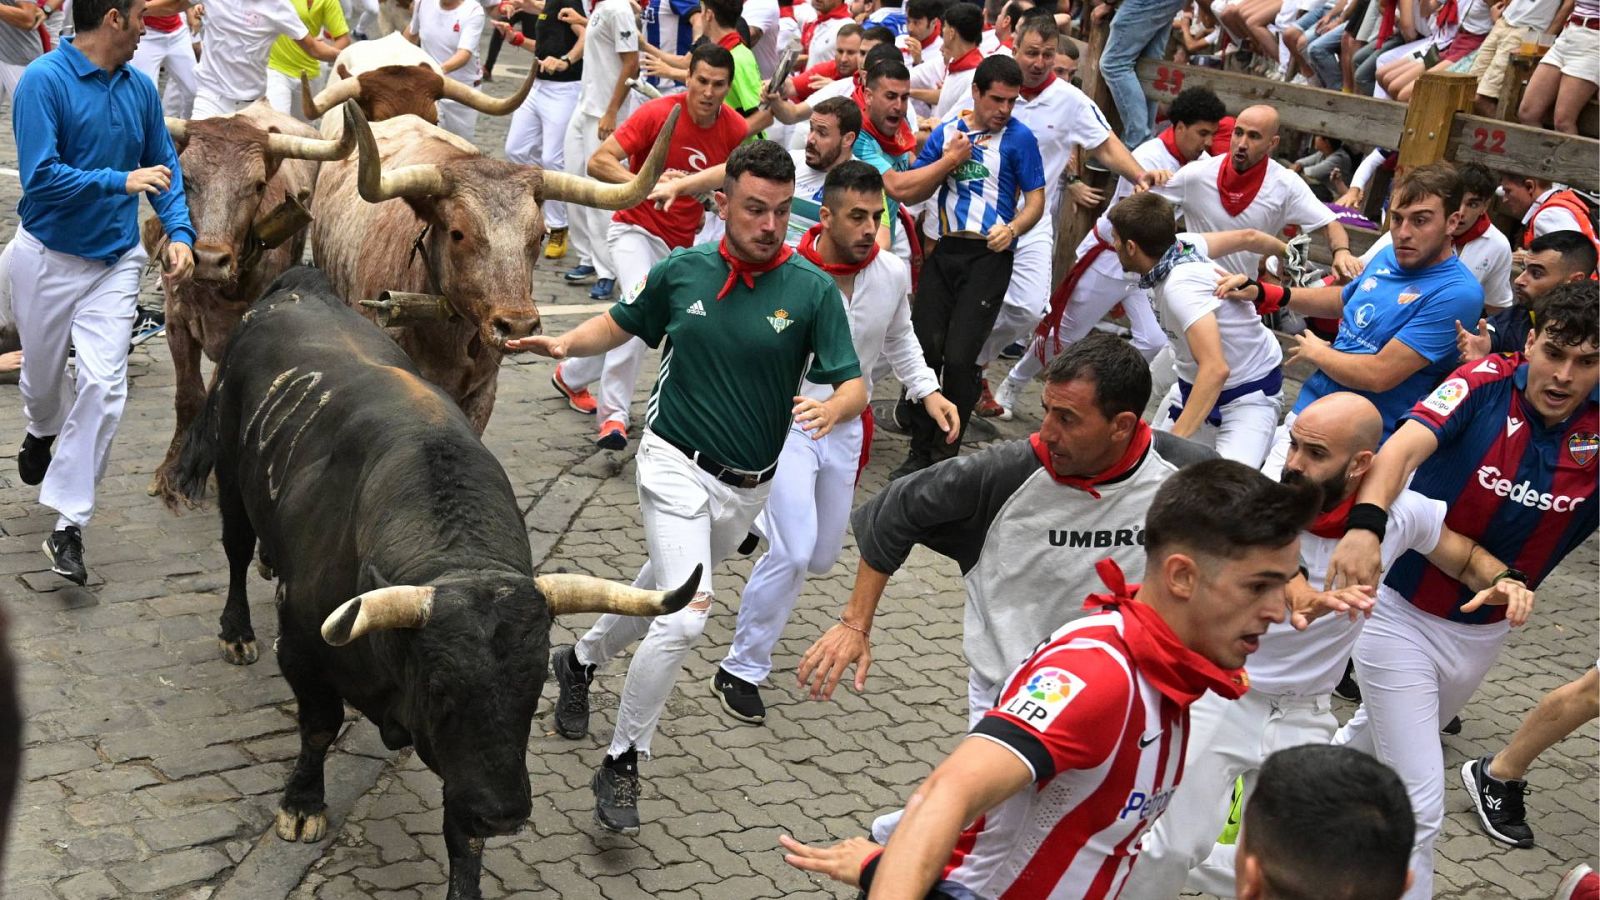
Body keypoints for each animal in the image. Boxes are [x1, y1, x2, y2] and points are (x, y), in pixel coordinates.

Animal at [178, 267, 697, 896]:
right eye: (442, 687)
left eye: (534, 687)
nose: (505, 813)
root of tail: (298, 283)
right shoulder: (301, 648)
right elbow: (320, 728)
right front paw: (302, 804)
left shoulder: (470, 767)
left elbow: (461, 826)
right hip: (231, 477)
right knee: (234, 551)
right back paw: (236, 631)